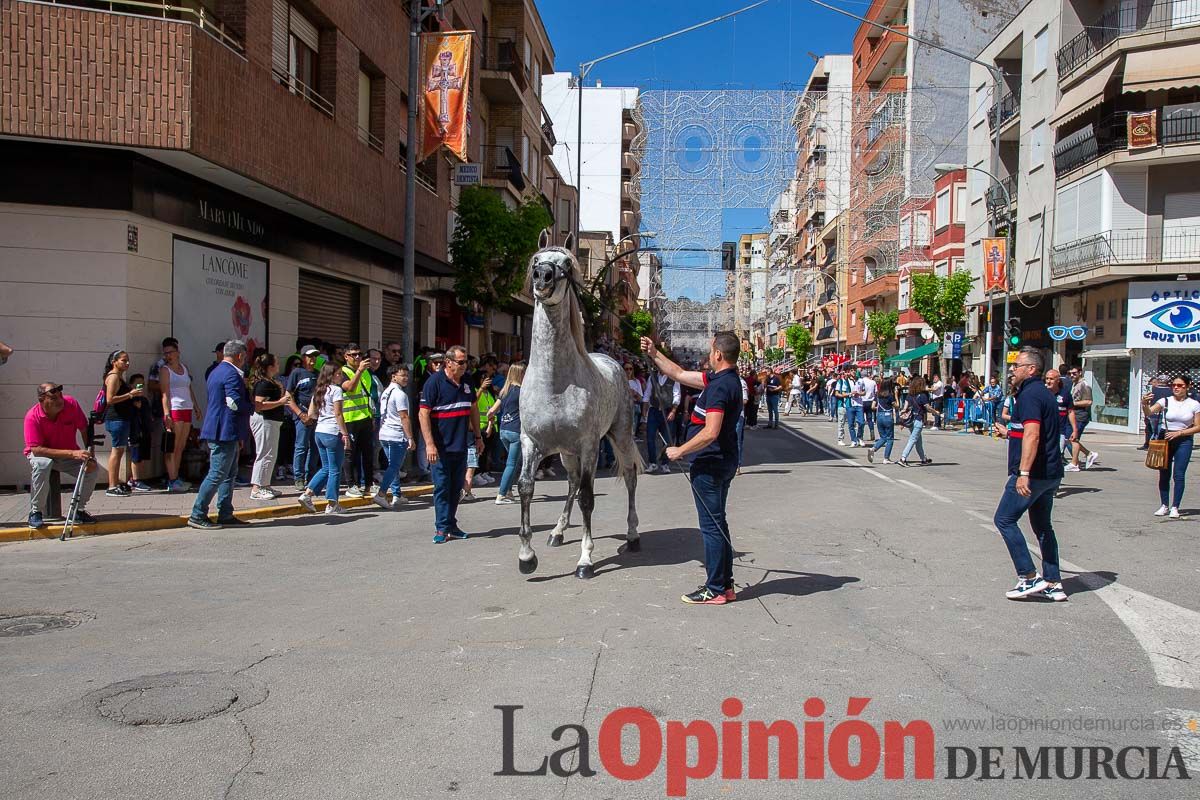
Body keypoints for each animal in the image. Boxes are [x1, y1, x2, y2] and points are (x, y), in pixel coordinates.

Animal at [518, 247, 643, 578]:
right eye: (536, 260)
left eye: (566, 263)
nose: (543, 277)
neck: (554, 384)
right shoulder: (530, 443)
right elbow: (525, 488)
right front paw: (526, 555)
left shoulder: (589, 446)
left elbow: (588, 497)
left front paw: (585, 559)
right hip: (565, 453)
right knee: (572, 483)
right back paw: (557, 532)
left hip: (619, 437)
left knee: (629, 476)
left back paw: (633, 535)